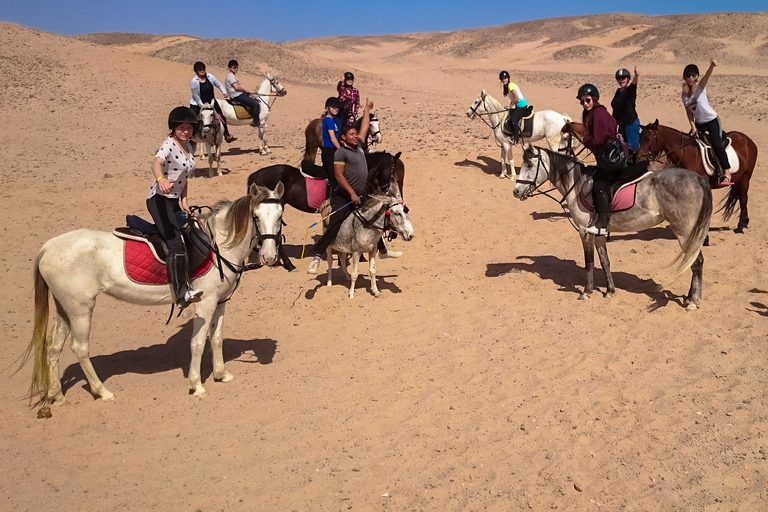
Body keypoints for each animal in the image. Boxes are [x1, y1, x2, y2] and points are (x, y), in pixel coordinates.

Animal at [21, 184, 284, 408]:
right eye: (256, 216)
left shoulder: (220, 302)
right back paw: (101, 391)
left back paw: (57, 395)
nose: (269, 257)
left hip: (64, 308)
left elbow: (216, 338)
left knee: (53, 348)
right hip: (80, 309)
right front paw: (197, 385)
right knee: (80, 348)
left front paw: (220, 374)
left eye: (280, 216)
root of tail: (48, 247)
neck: (217, 245)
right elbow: (198, 343)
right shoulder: (205, 303)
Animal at [510, 146, 712, 310]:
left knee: (697, 262)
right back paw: (689, 297)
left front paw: (587, 291)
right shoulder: (598, 232)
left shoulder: (584, 232)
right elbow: (604, 261)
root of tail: (698, 178)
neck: (577, 185)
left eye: (529, 165)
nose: (516, 191)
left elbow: (589, 262)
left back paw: (693, 300)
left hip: (684, 231)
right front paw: (609, 290)